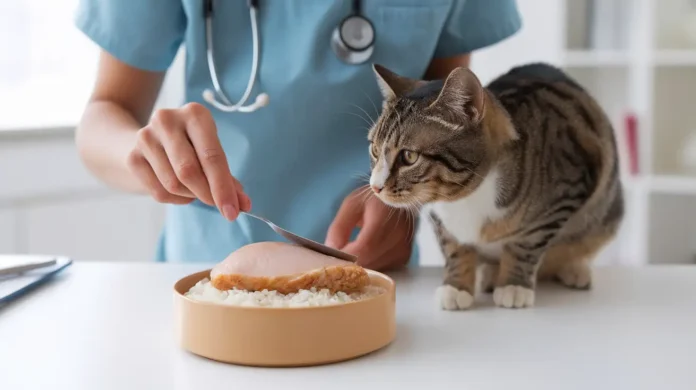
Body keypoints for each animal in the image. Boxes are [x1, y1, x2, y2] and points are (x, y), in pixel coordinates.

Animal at [368, 62, 624, 310]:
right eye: (374, 150)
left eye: (409, 157)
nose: (375, 186)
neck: (464, 199)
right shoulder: (438, 216)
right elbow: (453, 247)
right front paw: (457, 286)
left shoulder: (565, 191)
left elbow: (526, 243)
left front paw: (514, 284)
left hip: (603, 214)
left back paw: (574, 269)